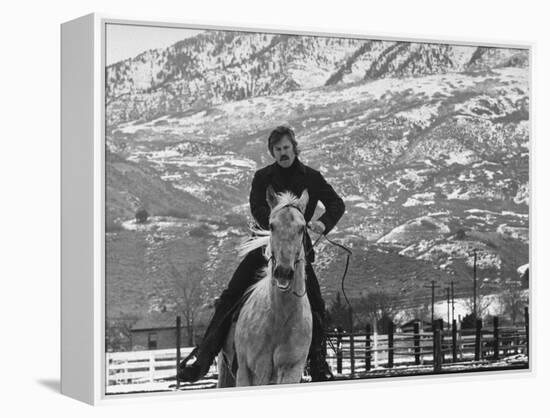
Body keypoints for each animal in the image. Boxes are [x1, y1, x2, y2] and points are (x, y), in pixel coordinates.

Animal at [220, 188, 314, 386]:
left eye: (302, 228)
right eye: (271, 226)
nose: (284, 272)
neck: (279, 319)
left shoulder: (291, 370)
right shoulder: (248, 372)